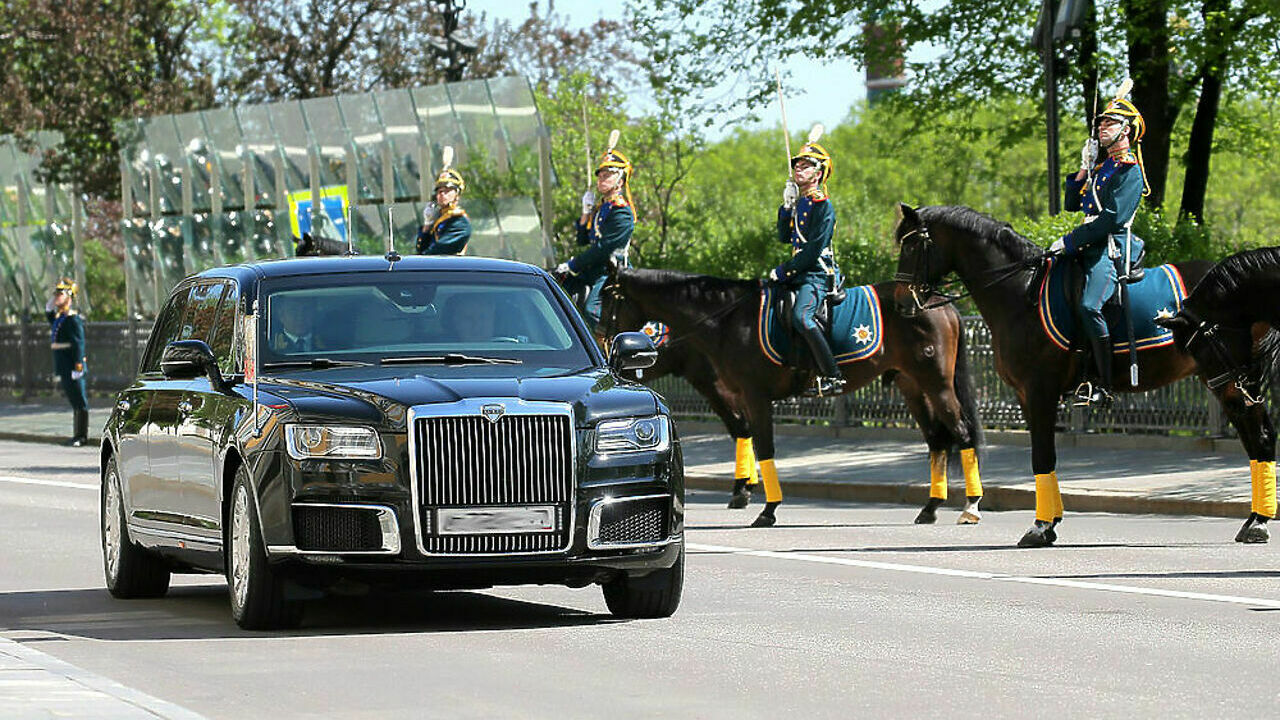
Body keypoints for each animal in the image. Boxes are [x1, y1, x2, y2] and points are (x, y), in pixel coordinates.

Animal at [604, 266, 983, 525]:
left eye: (608, 296)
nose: (607, 342)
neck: (729, 319)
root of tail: (940, 303)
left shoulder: (754, 396)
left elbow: (764, 446)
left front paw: (767, 509)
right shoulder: (740, 393)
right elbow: (753, 441)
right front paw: (755, 499)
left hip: (935, 383)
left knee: (962, 433)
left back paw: (970, 505)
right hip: (911, 385)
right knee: (937, 439)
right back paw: (930, 507)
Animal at [885, 202, 1264, 543]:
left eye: (912, 245)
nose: (901, 302)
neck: (1021, 293)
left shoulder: (1040, 391)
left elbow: (1042, 456)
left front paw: (1040, 527)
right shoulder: (1025, 396)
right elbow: (1044, 457)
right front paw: (1050, 523)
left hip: (1232, 379)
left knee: (1258, 435)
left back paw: (1258, 522)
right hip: (1227, 380)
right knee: (1255, 436)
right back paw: (1253, 521)